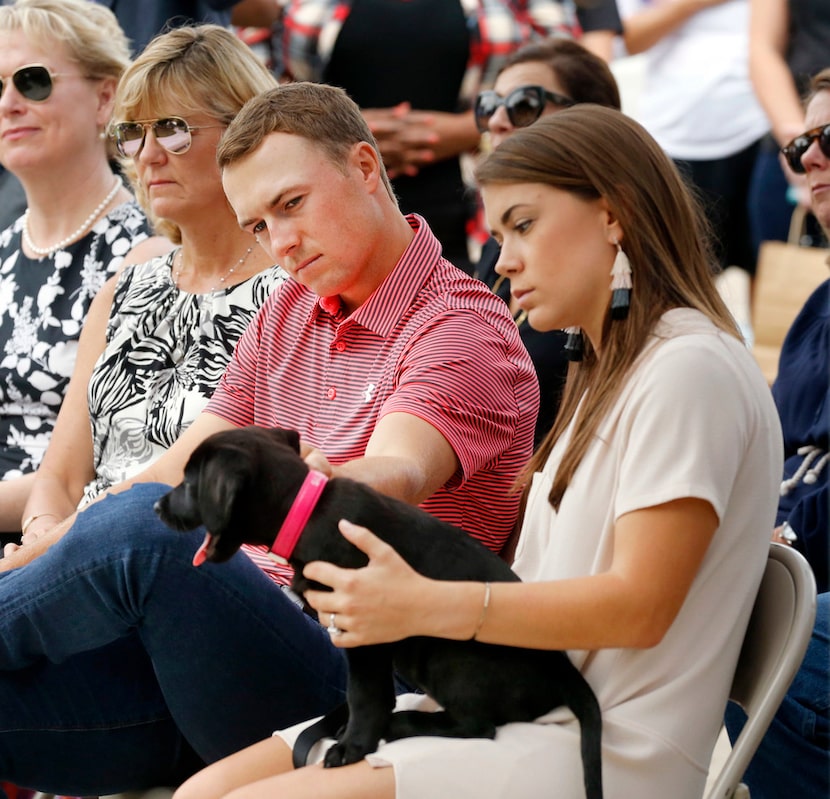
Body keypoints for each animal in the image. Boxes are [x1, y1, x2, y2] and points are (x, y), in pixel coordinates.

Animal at [154, 424, 604, 799]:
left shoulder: (365, 631)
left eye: (191, 482)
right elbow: (372, 693)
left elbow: (365, 693)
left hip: (447, 657)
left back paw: (400, 725)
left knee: (479, 726)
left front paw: (353, 746)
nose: (158, 507)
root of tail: (563, 669)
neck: (307, 513)